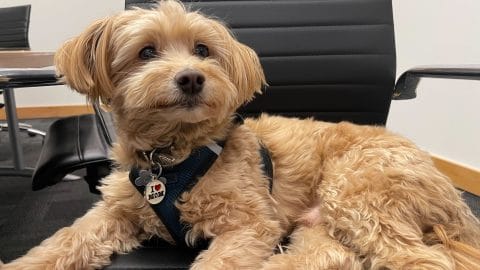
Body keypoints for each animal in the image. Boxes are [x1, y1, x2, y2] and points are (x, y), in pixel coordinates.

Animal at [1, 0, 478, 270]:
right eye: (146, 52)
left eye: (203, 50)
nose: (192, 77)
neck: (172, 157)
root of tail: (457, 205)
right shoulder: (115, 210)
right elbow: (65, 240)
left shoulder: (250, 223)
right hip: (323, 223)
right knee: (330, 254)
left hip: (360, 192)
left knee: (421, 260)